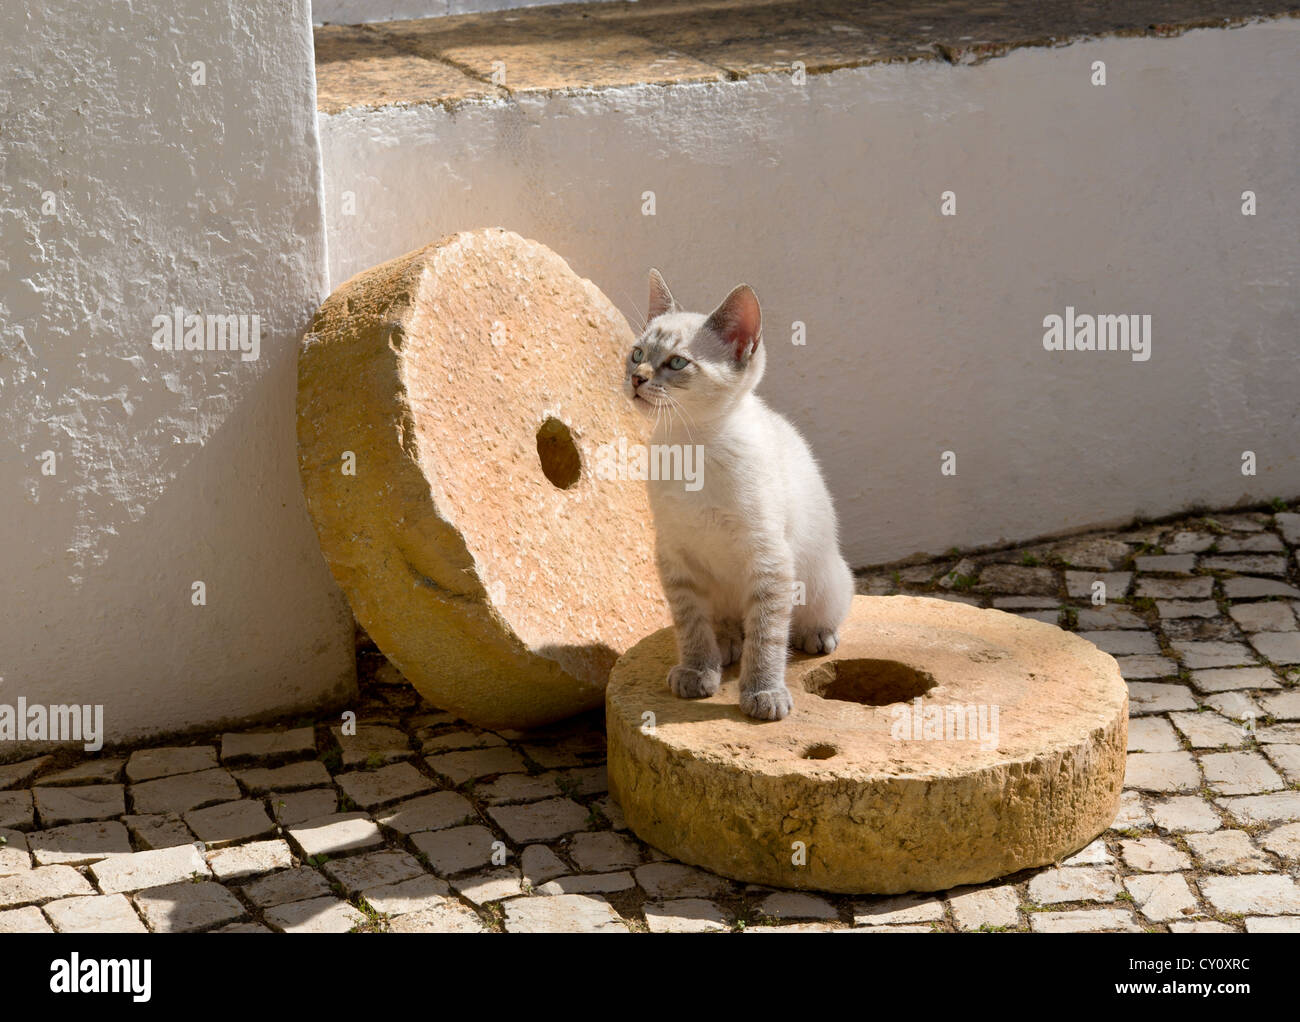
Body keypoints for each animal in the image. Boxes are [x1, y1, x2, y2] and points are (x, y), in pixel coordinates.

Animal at [626, 266, 857, 722]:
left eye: (676, 362)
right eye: (636, 353)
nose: (636, 378)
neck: (690, 446)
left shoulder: (768, 559)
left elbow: (766, 637)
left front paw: (763, 692)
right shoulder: (674, 555)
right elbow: (690, 624)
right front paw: (697, 671)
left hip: (822, 579)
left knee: (809, 616)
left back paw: (815, 635)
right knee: (728, 625)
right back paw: (727, 643)